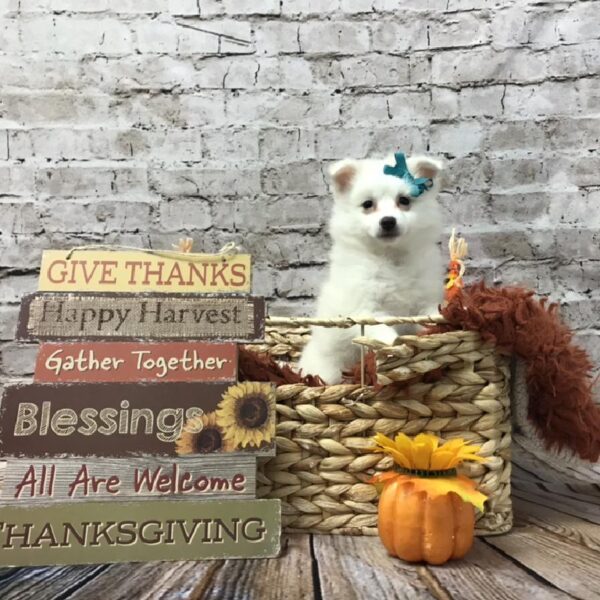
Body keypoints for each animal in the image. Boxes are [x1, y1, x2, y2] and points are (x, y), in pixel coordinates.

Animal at [300, 152, 446, 382]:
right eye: (368, 204)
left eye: (404, 200)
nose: (388, 221)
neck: (390, 257)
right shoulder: (365, 308)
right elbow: (383, 332)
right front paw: (395, 348)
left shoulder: (426, 302)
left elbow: (429, 321)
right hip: (327, 369)